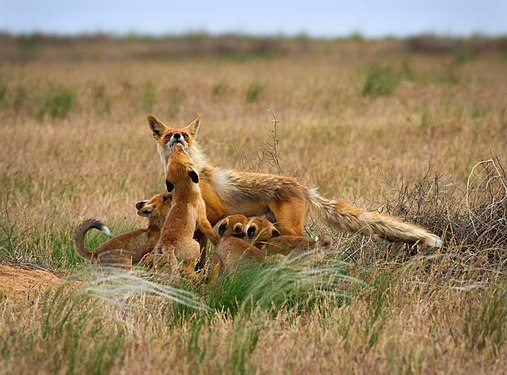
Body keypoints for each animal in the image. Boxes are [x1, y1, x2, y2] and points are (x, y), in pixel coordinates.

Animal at [148, 114, 444, 250]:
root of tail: (302, 187)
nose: (178, 138)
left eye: (185, 134)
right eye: (169, 135)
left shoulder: (216, 211)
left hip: (289, 226)